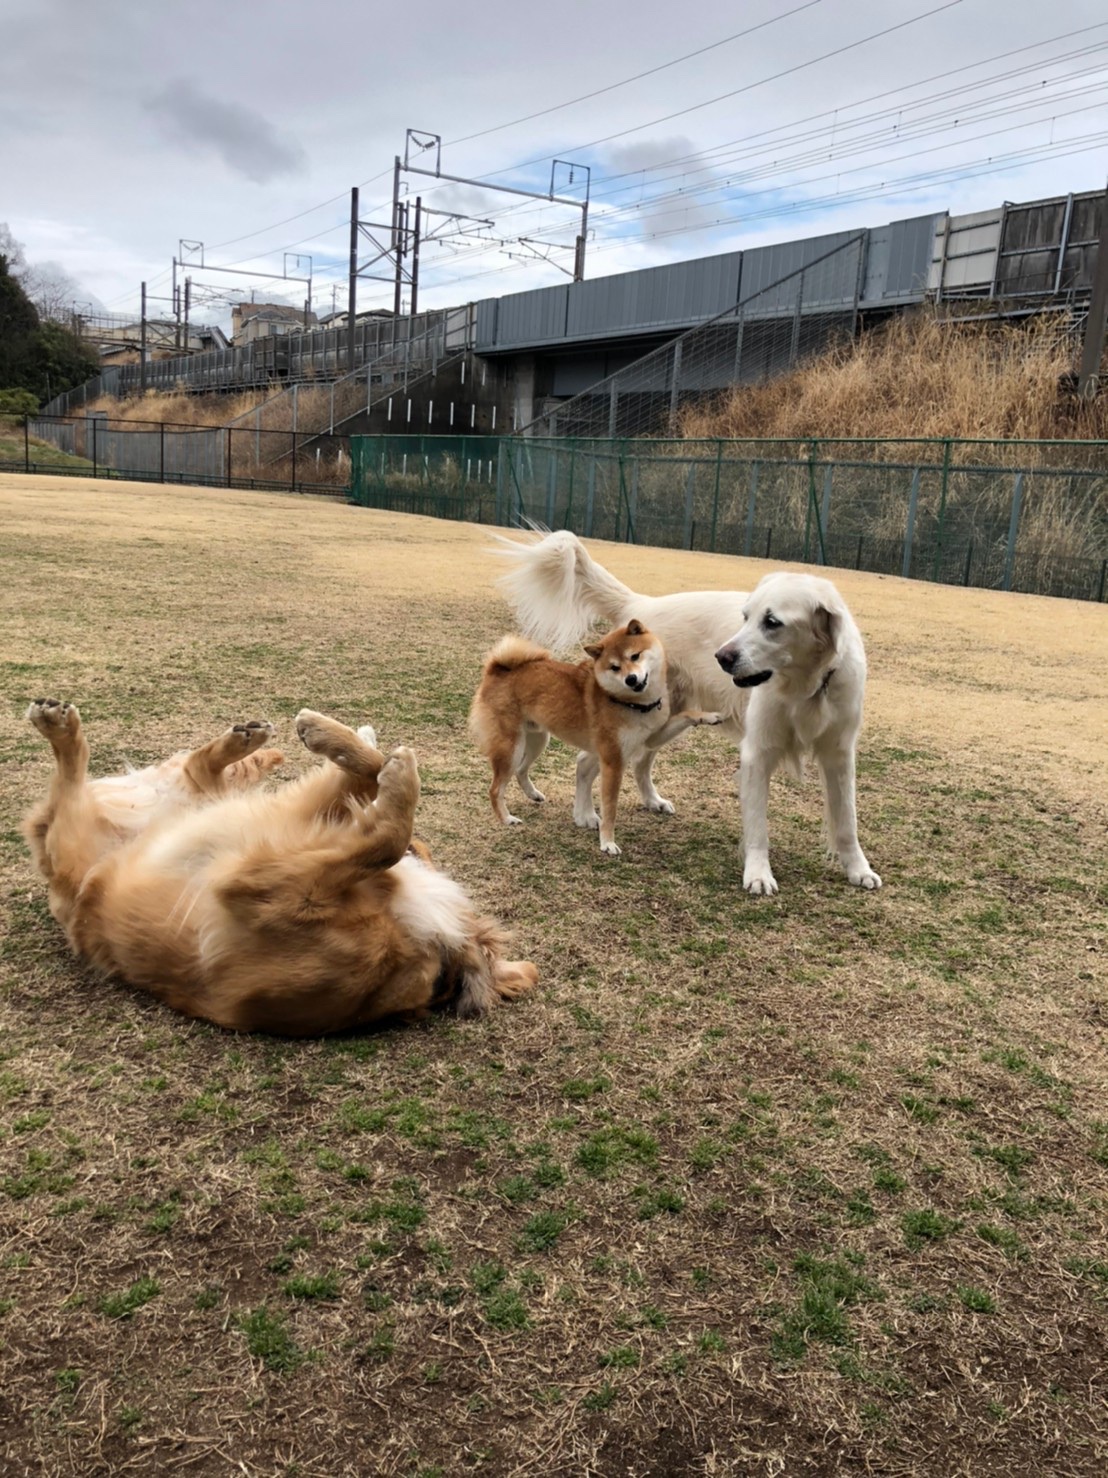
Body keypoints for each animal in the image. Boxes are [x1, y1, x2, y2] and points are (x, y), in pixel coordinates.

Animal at [22, 699, 537, 1034]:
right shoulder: (302, 833)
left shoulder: (256, 885)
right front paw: (345, 740)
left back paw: (60, 729)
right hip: (208, 805)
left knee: (72, 784)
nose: (421, 848)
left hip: (78, 841)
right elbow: (376, 799)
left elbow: (385, 839)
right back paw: (255, 737)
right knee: (198, 769)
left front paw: (391, 770)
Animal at [469, 620, 721, 856]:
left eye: (635, 656)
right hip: (511, 748)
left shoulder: (651, 739)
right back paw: (506, 818)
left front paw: (710, 716)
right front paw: (607, 842)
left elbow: (685, 715)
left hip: (537, 740)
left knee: (521, 770)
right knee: (495, 789)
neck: (633, 704)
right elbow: (610, 808)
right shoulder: (613, 761)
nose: (631, 679)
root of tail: (498, 668)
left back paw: (533, 794)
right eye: (614, 667)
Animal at [495, 531, 880, 895]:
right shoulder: (758, 753)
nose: (722, 657)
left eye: (772, 621)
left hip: (658, 719)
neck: (806, 687)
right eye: (745, 617)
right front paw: (758, 874)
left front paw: (858, 869)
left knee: (639, 762)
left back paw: (648, 801)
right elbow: (758, 826)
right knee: (587, 762)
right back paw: (586, 814)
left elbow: (847, 822)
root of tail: (642, 604)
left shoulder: (839, 755)